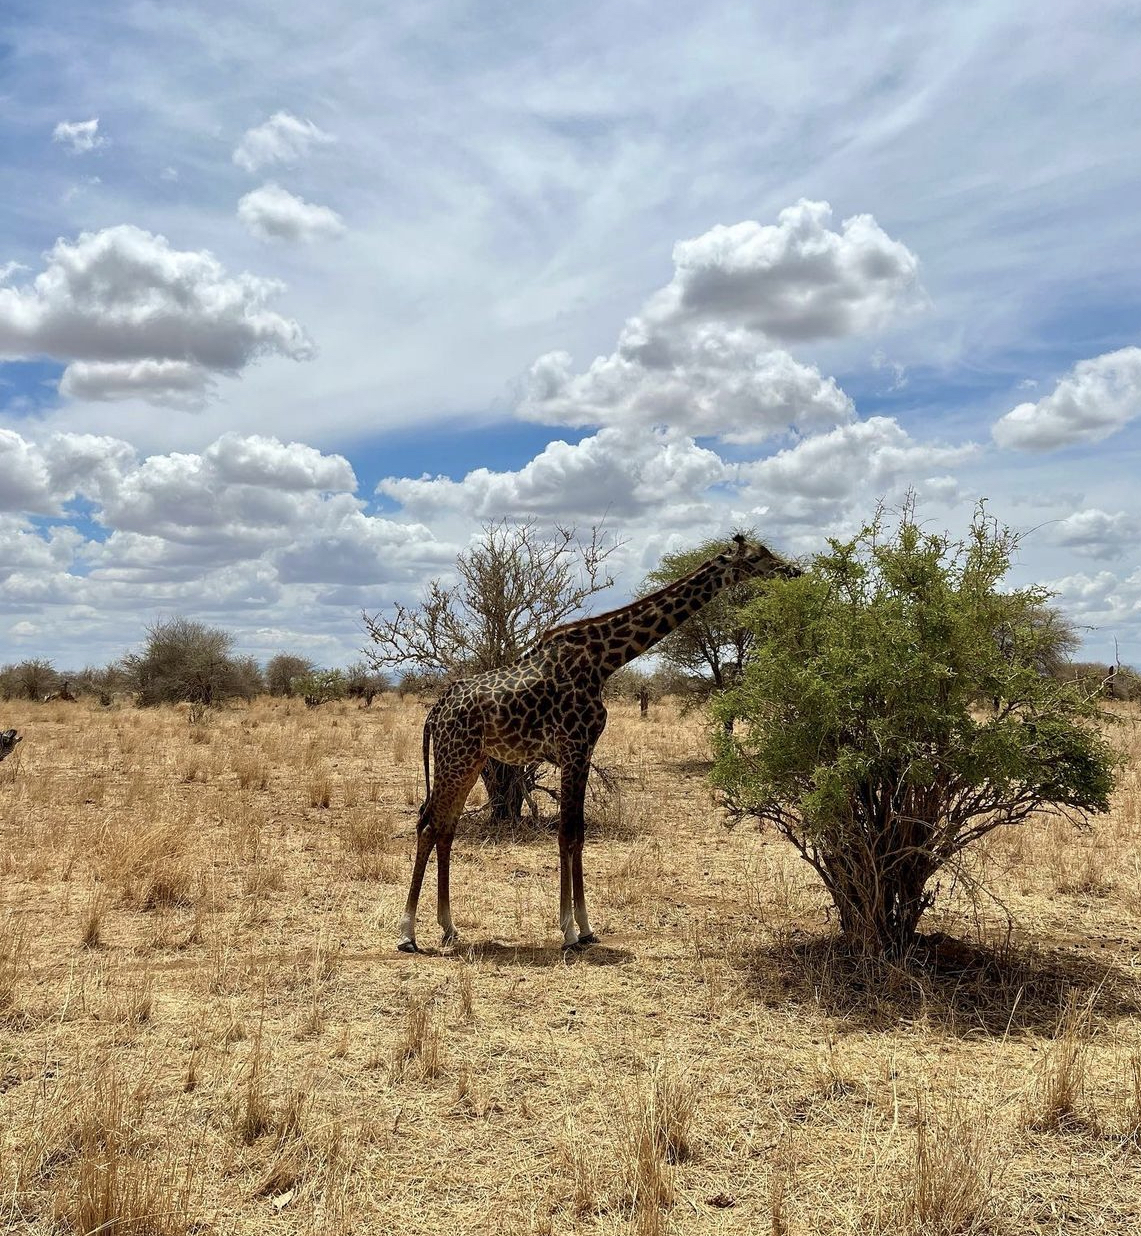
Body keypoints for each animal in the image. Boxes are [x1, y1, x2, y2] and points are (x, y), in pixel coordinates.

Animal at [398, 533, 801, 954]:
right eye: (757, 557)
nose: (793, 572)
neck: (604, 660)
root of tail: (435, 712)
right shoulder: (573, 748)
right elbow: (567, 833)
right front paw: (569, 930)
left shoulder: (585, 751)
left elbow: (579, 833)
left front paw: (586, 928)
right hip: (455, 757)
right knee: (428, 825)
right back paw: (408, 933)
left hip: (471, 760)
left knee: (444, 827)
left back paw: (448, 928)